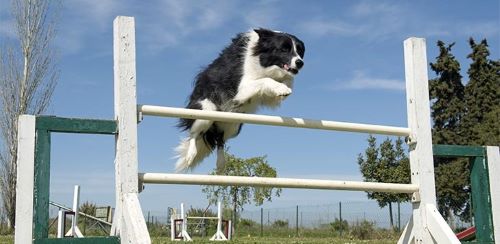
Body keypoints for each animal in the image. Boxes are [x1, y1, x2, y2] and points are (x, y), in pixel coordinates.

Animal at [176, 28, 304, 172]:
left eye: (300, 51)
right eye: (284, 49)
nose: (300, 63)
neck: (262, 60)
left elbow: (284, 82)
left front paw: (285, 86)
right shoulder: (242, 88)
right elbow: (265, 80)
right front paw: (282, 87)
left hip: (233, 126)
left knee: (220, 139)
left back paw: (221, 164)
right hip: (206, 111)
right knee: (194, 133)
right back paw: (191, 154)